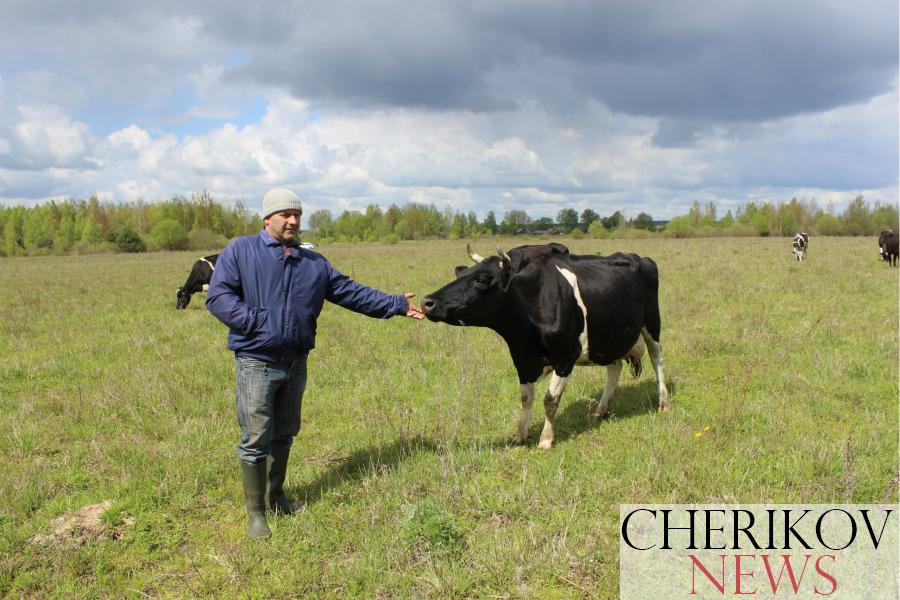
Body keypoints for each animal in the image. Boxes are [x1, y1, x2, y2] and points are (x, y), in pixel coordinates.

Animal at [422, 244, 668, 450]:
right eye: (460, 274)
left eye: (482, 280)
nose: (427, 302)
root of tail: (637, 257)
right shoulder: (521, 358)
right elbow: (526, 398)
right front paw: (520, 436)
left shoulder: (566, 356)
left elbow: (550, 400)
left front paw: (546, 439)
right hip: (609, 336)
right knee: (614, 368)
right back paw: (601, 410)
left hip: (652, 323)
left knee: (657, 359)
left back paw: (663, 402)